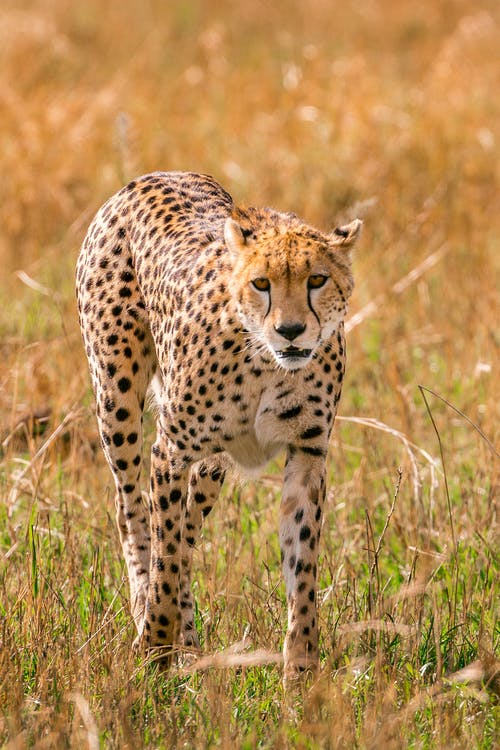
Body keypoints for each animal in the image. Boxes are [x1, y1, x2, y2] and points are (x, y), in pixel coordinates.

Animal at [76, 172, 362, 680]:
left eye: (317, 280)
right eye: (261, 283)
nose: (291, 331)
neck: (266, 363)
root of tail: (157, 174)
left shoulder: (307, 456)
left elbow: (302, 568)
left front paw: (301, 674)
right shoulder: (169, 452)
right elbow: (165, 559)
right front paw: (152, 653)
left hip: (213, 465)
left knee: (188, 526)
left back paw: (189, 643)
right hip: (117, 402)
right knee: (132, 513)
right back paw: (148, 616)